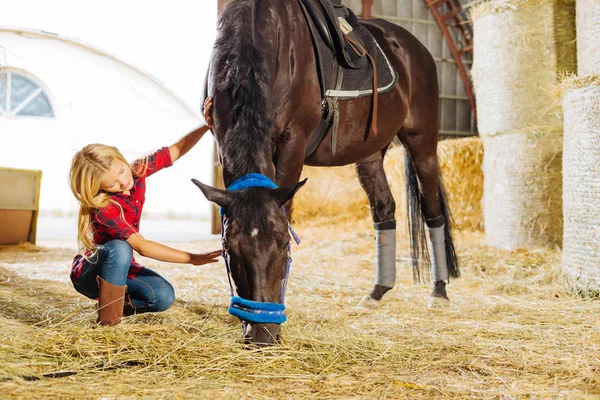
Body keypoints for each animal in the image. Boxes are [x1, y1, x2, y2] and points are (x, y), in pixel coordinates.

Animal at [192, 0, 460, 346]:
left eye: (285, 244)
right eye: (227, 249)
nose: (262, 334)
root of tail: (417, 47)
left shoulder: (292, 142)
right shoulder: (222, 138)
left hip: (422, 142)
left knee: (431, 210)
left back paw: (439, 292)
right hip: (369, 153)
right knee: (384, 208)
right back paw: (377, 292)